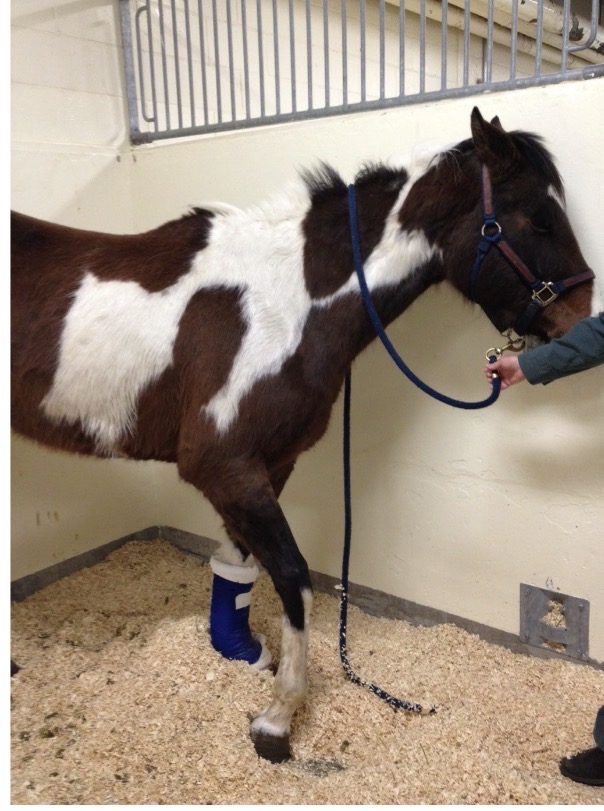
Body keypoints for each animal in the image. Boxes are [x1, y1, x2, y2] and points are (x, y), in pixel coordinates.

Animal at [11, 108, 596, 763]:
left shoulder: (270, 462)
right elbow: (294, 577)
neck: (285, 301)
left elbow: (241, 562)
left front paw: (240, 653)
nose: (582, 316)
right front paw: (279, 717)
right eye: (539, 217)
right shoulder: (223, 465)